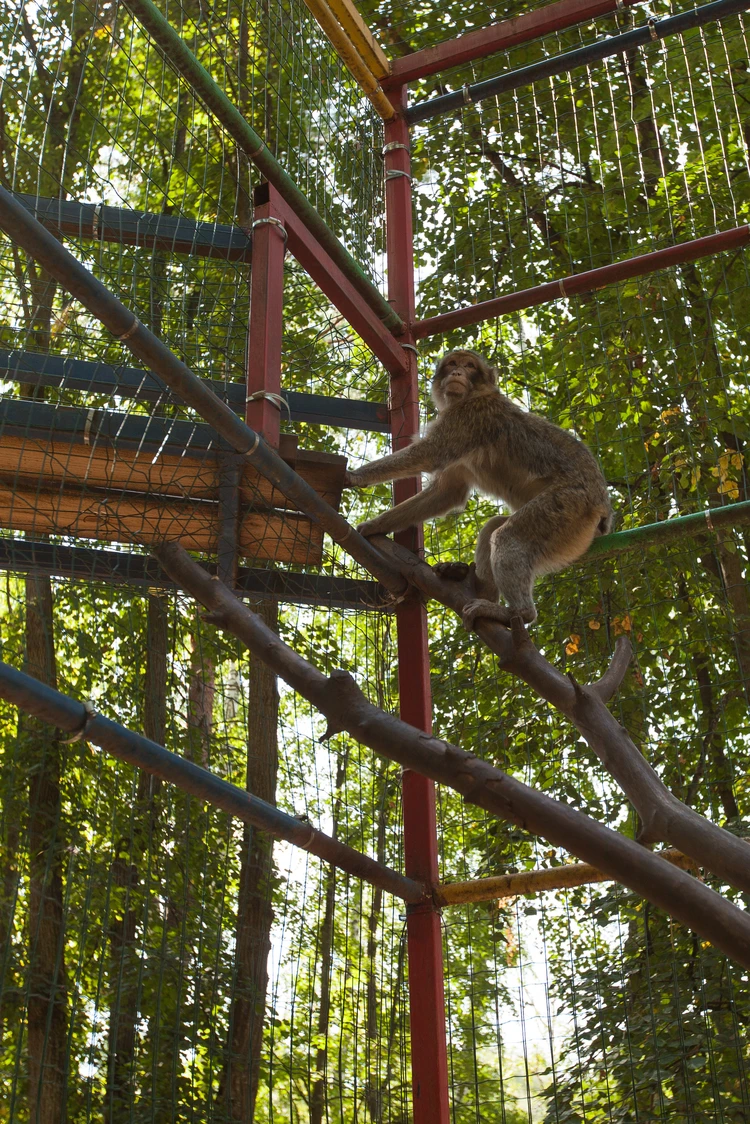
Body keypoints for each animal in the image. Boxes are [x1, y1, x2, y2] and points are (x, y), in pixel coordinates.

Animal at [344, 348, 611, 633]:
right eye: (452, 363)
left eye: (470, 366)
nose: (457, 372)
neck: (473, 395)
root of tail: (603, 510)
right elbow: (447, 493)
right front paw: (377, 524)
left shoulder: (470, 416)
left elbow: (429, 454)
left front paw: (356, 476)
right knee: (494, 527)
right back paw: (477, 588)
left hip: (570, 506)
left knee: (507, 536)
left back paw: (517, 612)